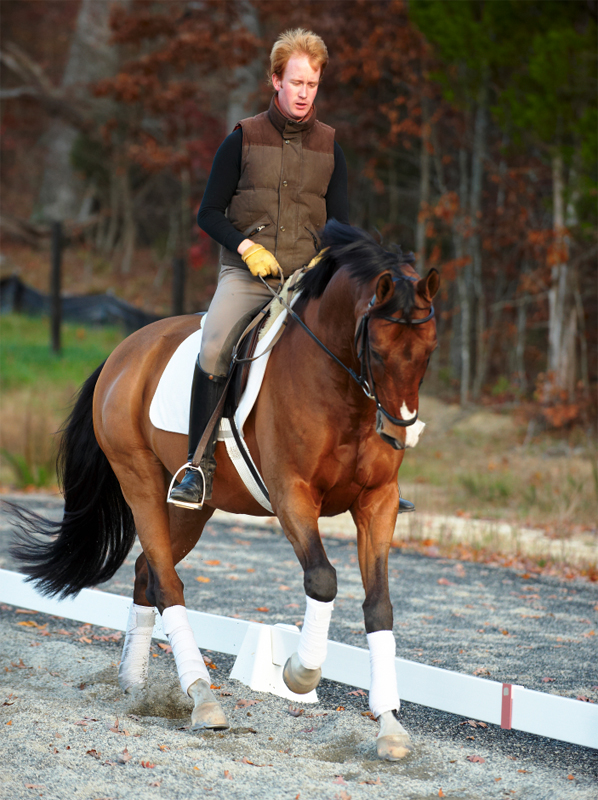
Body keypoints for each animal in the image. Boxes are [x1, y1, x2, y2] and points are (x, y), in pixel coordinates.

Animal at [10, 221, 439, 761]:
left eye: (429, 351)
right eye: (377, 351)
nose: (402, 433)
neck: (342, 391)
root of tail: (127, 348)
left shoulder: (377, 502)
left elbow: (379, 605)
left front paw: (390, 727)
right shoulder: (292, 495)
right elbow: (322, 579)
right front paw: (300, 674)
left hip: (194, 507)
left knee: (148, 571)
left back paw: (135, 684)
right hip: (140, 480)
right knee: (167, 583)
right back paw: (204, 700)